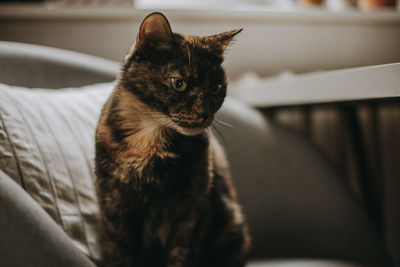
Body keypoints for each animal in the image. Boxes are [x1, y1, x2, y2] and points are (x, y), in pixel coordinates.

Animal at [94, 12, 250, 267]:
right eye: (179, 83)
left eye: (216, 87)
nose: (205, 112)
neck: (150, 143)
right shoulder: (114, 209)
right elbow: (119, 254)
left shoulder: (190, 212)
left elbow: (181, 254)